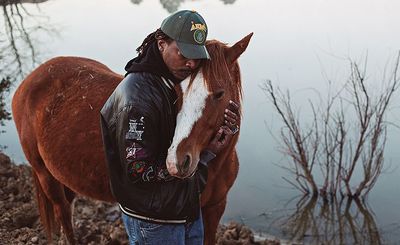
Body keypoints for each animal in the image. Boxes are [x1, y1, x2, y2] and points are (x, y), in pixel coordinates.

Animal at [12, 33, 253, 245]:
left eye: (219, 94)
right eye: (177, 90)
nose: (177, 161)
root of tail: (29, 80)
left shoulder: (215, 208)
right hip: (45, 174)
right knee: (62, 211)